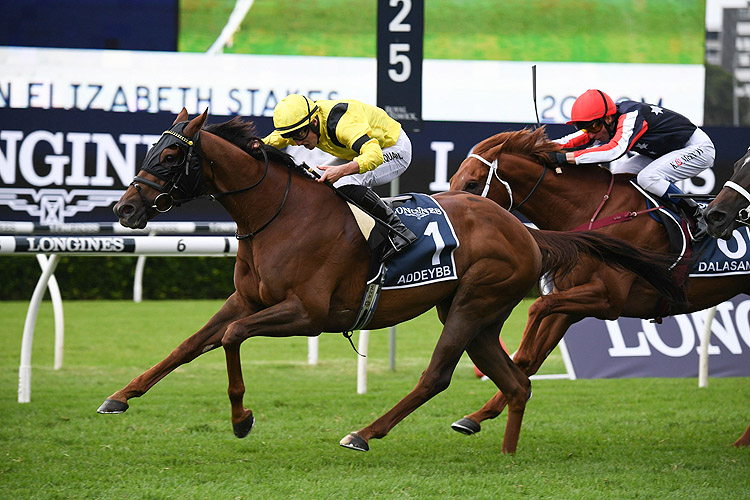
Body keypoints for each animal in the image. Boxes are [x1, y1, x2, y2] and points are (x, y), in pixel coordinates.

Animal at [101, 111, 688, 456]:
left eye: (171, 154)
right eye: (150, 147)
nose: (125, 208)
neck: (278, 214)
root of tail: (525, 232)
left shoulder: (307, 313)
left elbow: (230, 337)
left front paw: (242, 417)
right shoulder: (246, 298)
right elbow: (189, 344)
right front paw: (119, 397)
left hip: (471, 306)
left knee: (437, 376)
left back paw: (363, 433)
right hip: (478, 315)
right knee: (516, 382)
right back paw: (504, 452)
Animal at [450, 127, 748, 448]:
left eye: (472, 182)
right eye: (455, 180)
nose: (453, 211)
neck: (592, 212)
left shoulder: (608, 299)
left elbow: (537, 309)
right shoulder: (569, 306)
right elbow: (532, 357)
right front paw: (475, 417)